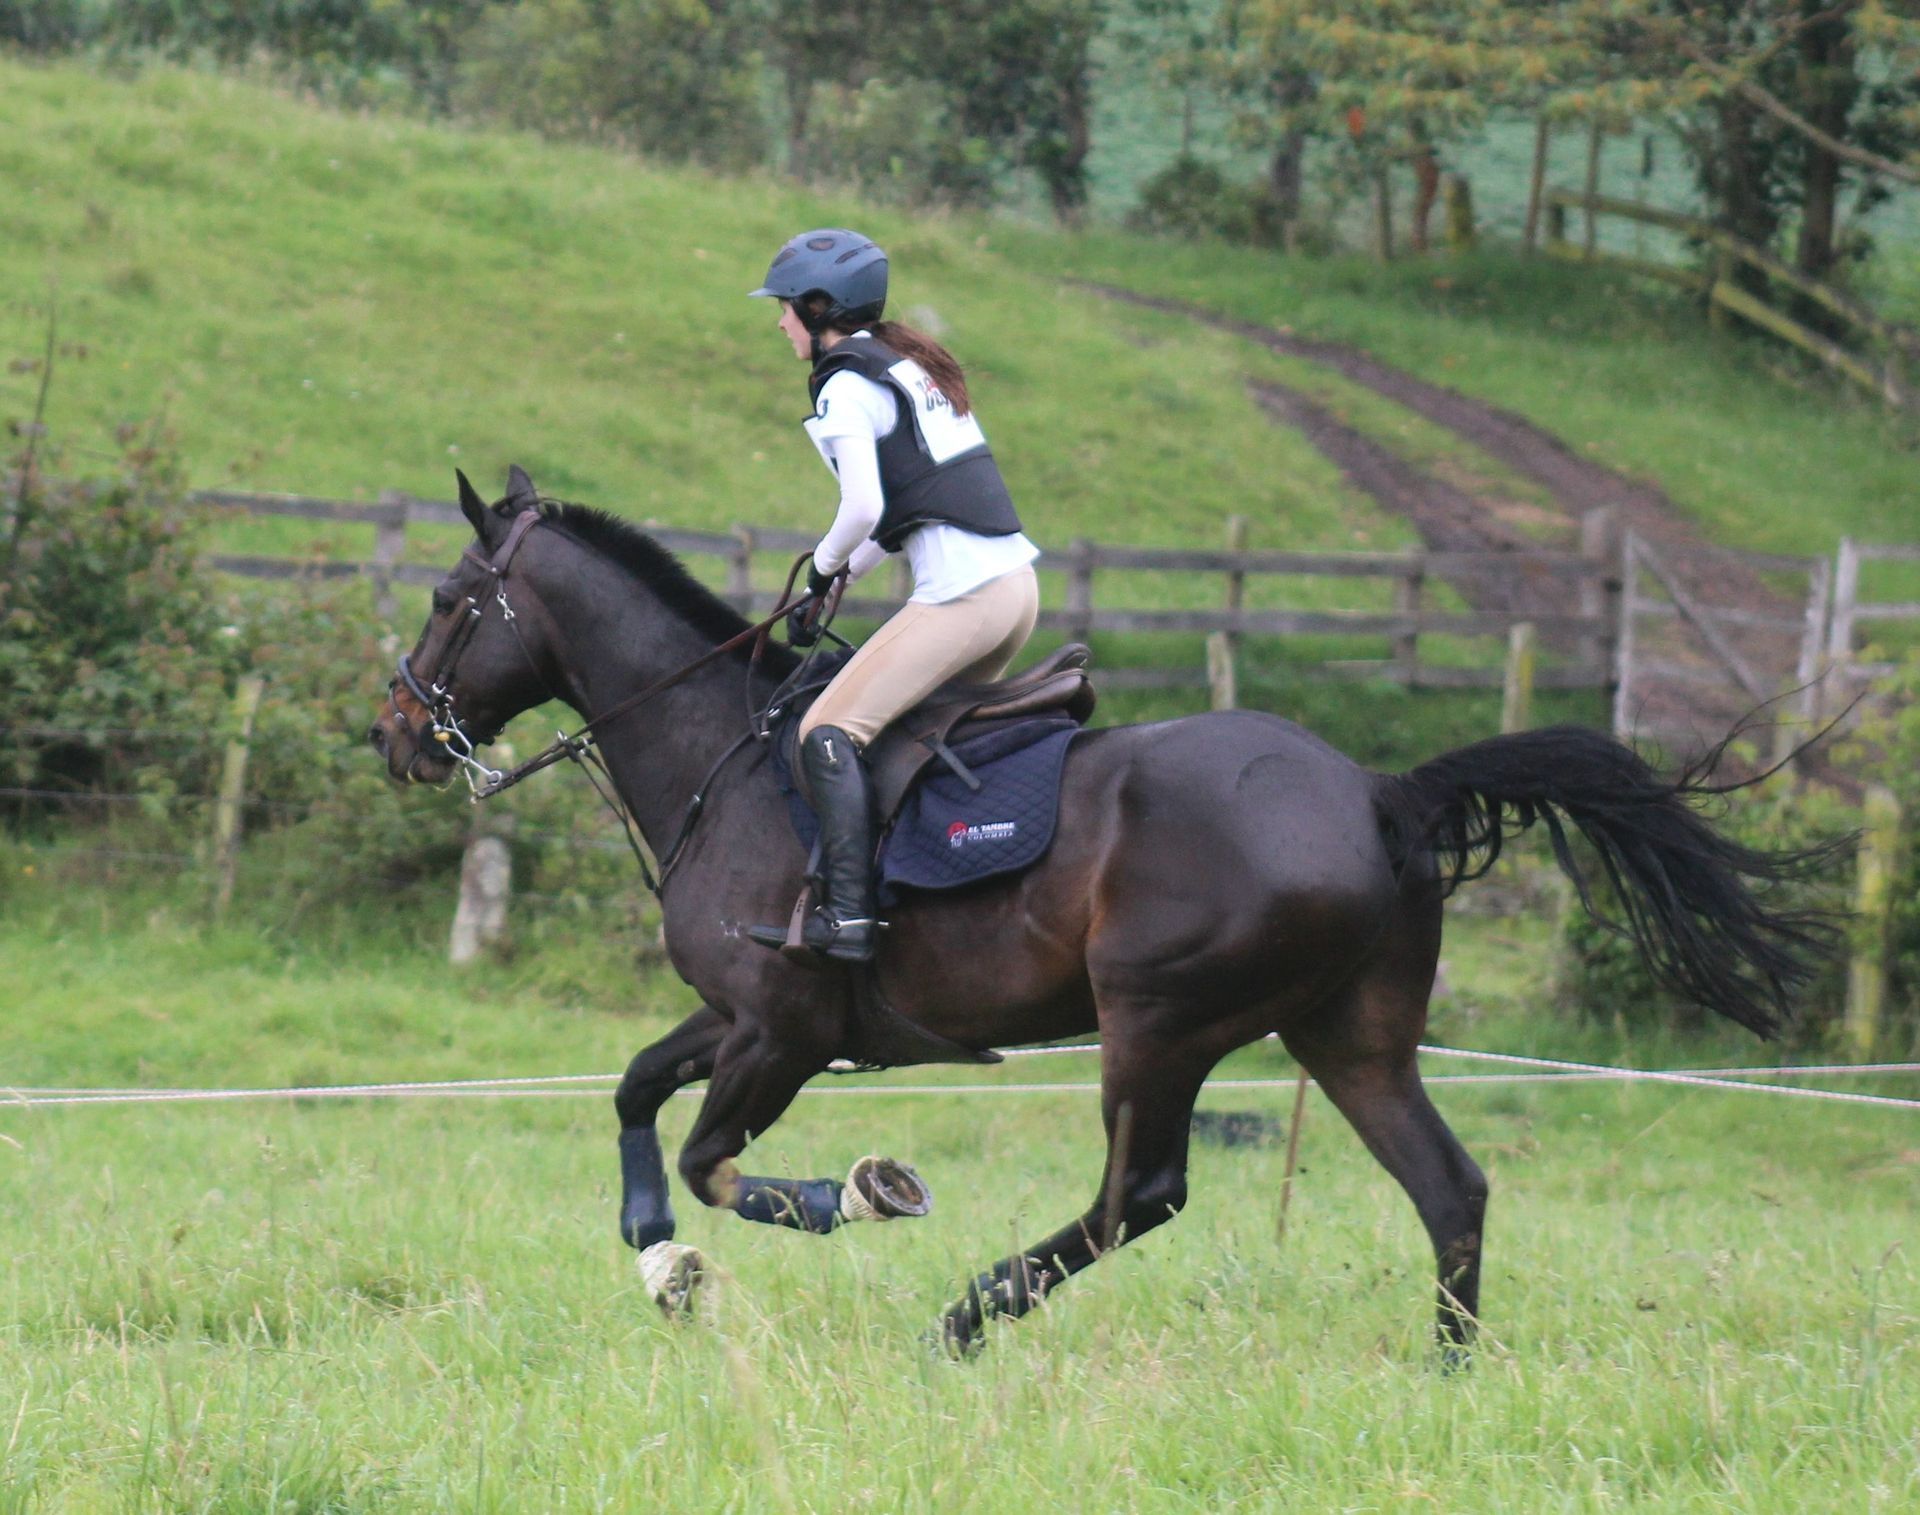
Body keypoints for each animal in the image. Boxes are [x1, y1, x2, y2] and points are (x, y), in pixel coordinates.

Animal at [368, 468, 1839, 1357]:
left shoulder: (780, 1030)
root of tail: (1379, 788)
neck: (716, 756)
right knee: (1449, 1185)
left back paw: (972, 1312)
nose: (392, 735)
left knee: (1143, 1191)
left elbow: (716, 1161)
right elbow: (635, 1096)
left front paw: (859, 1194)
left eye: (447, 601)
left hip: (1160, 1019)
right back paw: (1449, 1372)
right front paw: (656, 1259)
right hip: (1347, 1035)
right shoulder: (736, 1013)